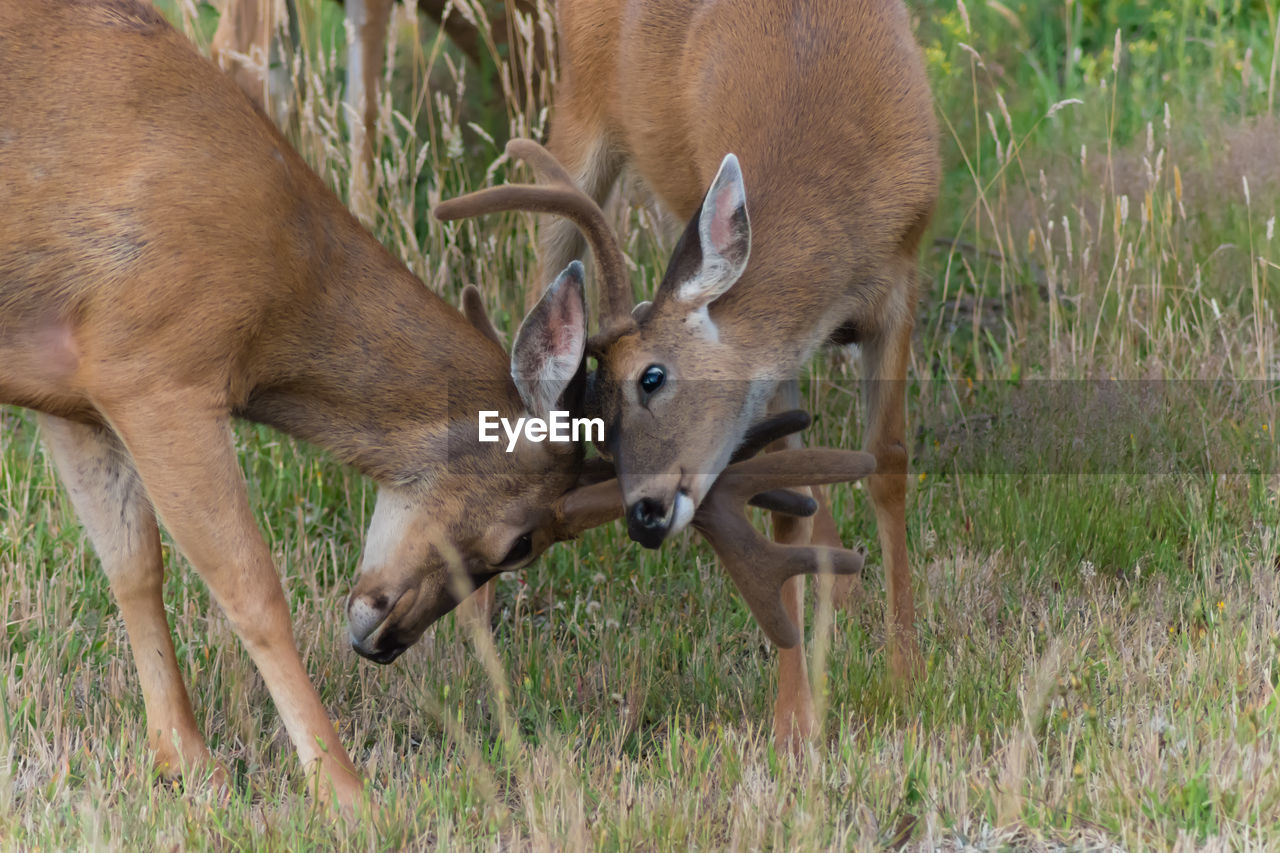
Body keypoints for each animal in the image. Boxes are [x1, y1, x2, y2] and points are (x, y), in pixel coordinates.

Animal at [0, 1, 870, 804]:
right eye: (523, 541)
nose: (383, 640)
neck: (282, 282)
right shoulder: (155, 364)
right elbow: (250, 586)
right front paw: (343, 791)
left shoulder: (74, 391)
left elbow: (132, 567)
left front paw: (186, 761)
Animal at [506, 0, 942, 742]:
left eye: (651, 378)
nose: (644, 517)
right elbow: (786, 506)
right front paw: (795, 718)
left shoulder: (899, 279)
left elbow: (886, 466)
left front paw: (907, 672)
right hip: (579, 110)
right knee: (543, 268)